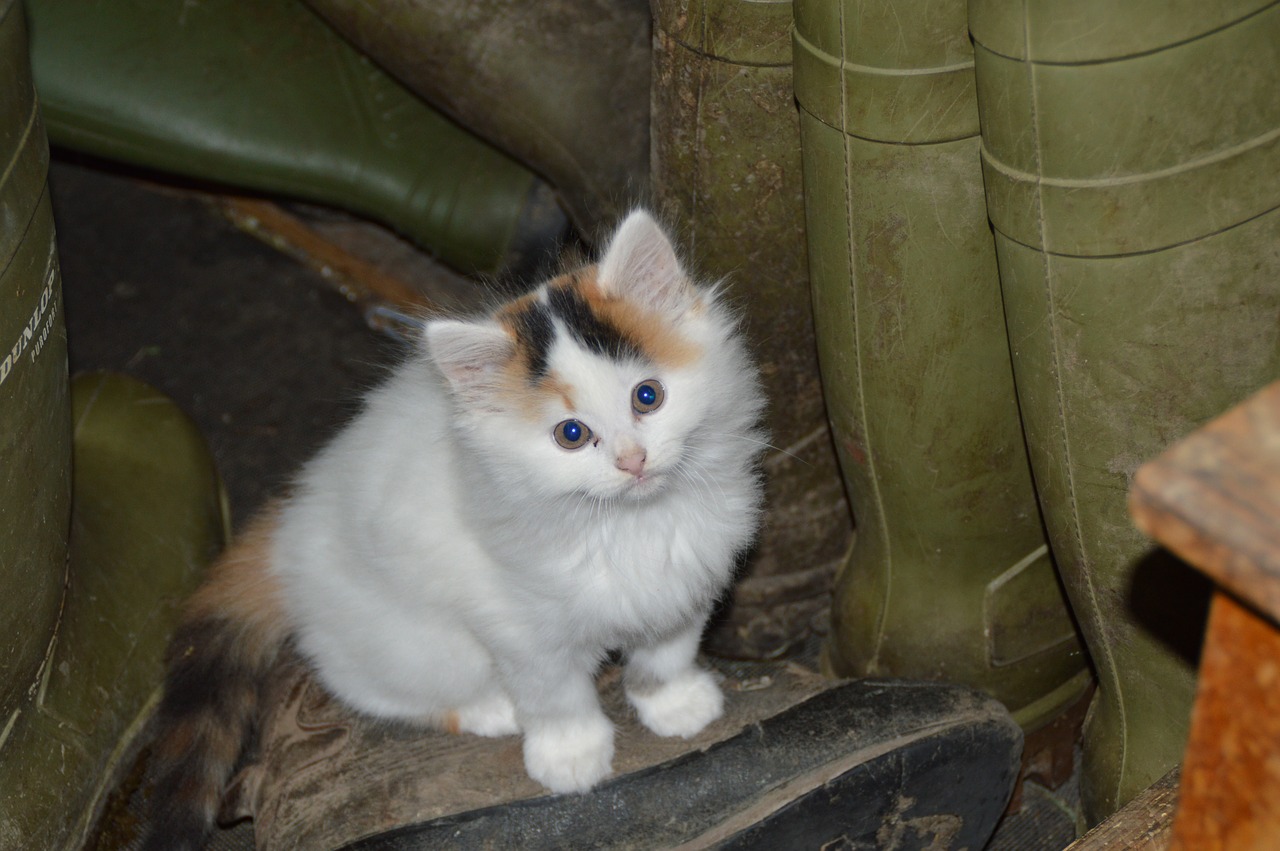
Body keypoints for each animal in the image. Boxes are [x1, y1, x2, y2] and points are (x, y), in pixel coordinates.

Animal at [142, 208, 757, 844]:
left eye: (648, 396)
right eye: (571, 434)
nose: (633, 461)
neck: (631, 523)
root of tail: (288, 529)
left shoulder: (688, 578)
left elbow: (668, 650)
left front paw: (675, 705)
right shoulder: (519, 626)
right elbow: (555, 694)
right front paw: (571, 757)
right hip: (418, 646)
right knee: (360, 681)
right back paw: (489, 710)